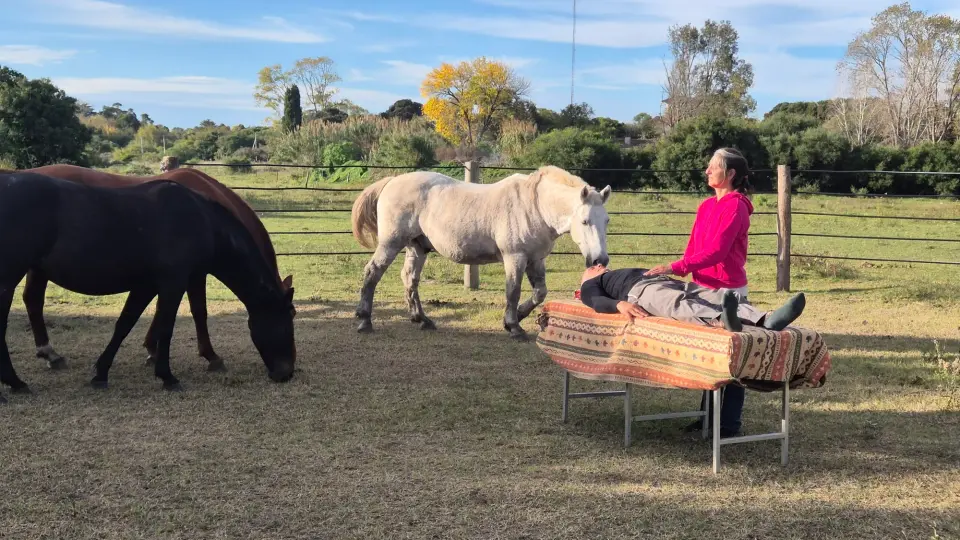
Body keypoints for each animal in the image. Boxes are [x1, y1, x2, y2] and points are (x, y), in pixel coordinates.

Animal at [0, 172, 296, 401]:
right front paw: (167, 376)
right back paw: (15, 382)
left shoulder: (146, 285)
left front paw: (101, 373)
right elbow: (168, 325)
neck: (202, 220)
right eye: (287, 321)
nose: (287, 373)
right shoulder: (174, 282)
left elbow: (124, 324)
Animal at [351, 165, 611, 340]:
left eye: (607, 220)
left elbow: (540, 293)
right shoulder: (514, 257)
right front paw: (514, 326)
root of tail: (392, 181)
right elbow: (513, 290)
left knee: (409, 278)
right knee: (372, 272)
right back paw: (365, 319)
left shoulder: (535, 260)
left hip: (417, 247)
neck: (534, 206)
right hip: (391, 243)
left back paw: (421, 319)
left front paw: (519, 315)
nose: (600, 260)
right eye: (585, 221)